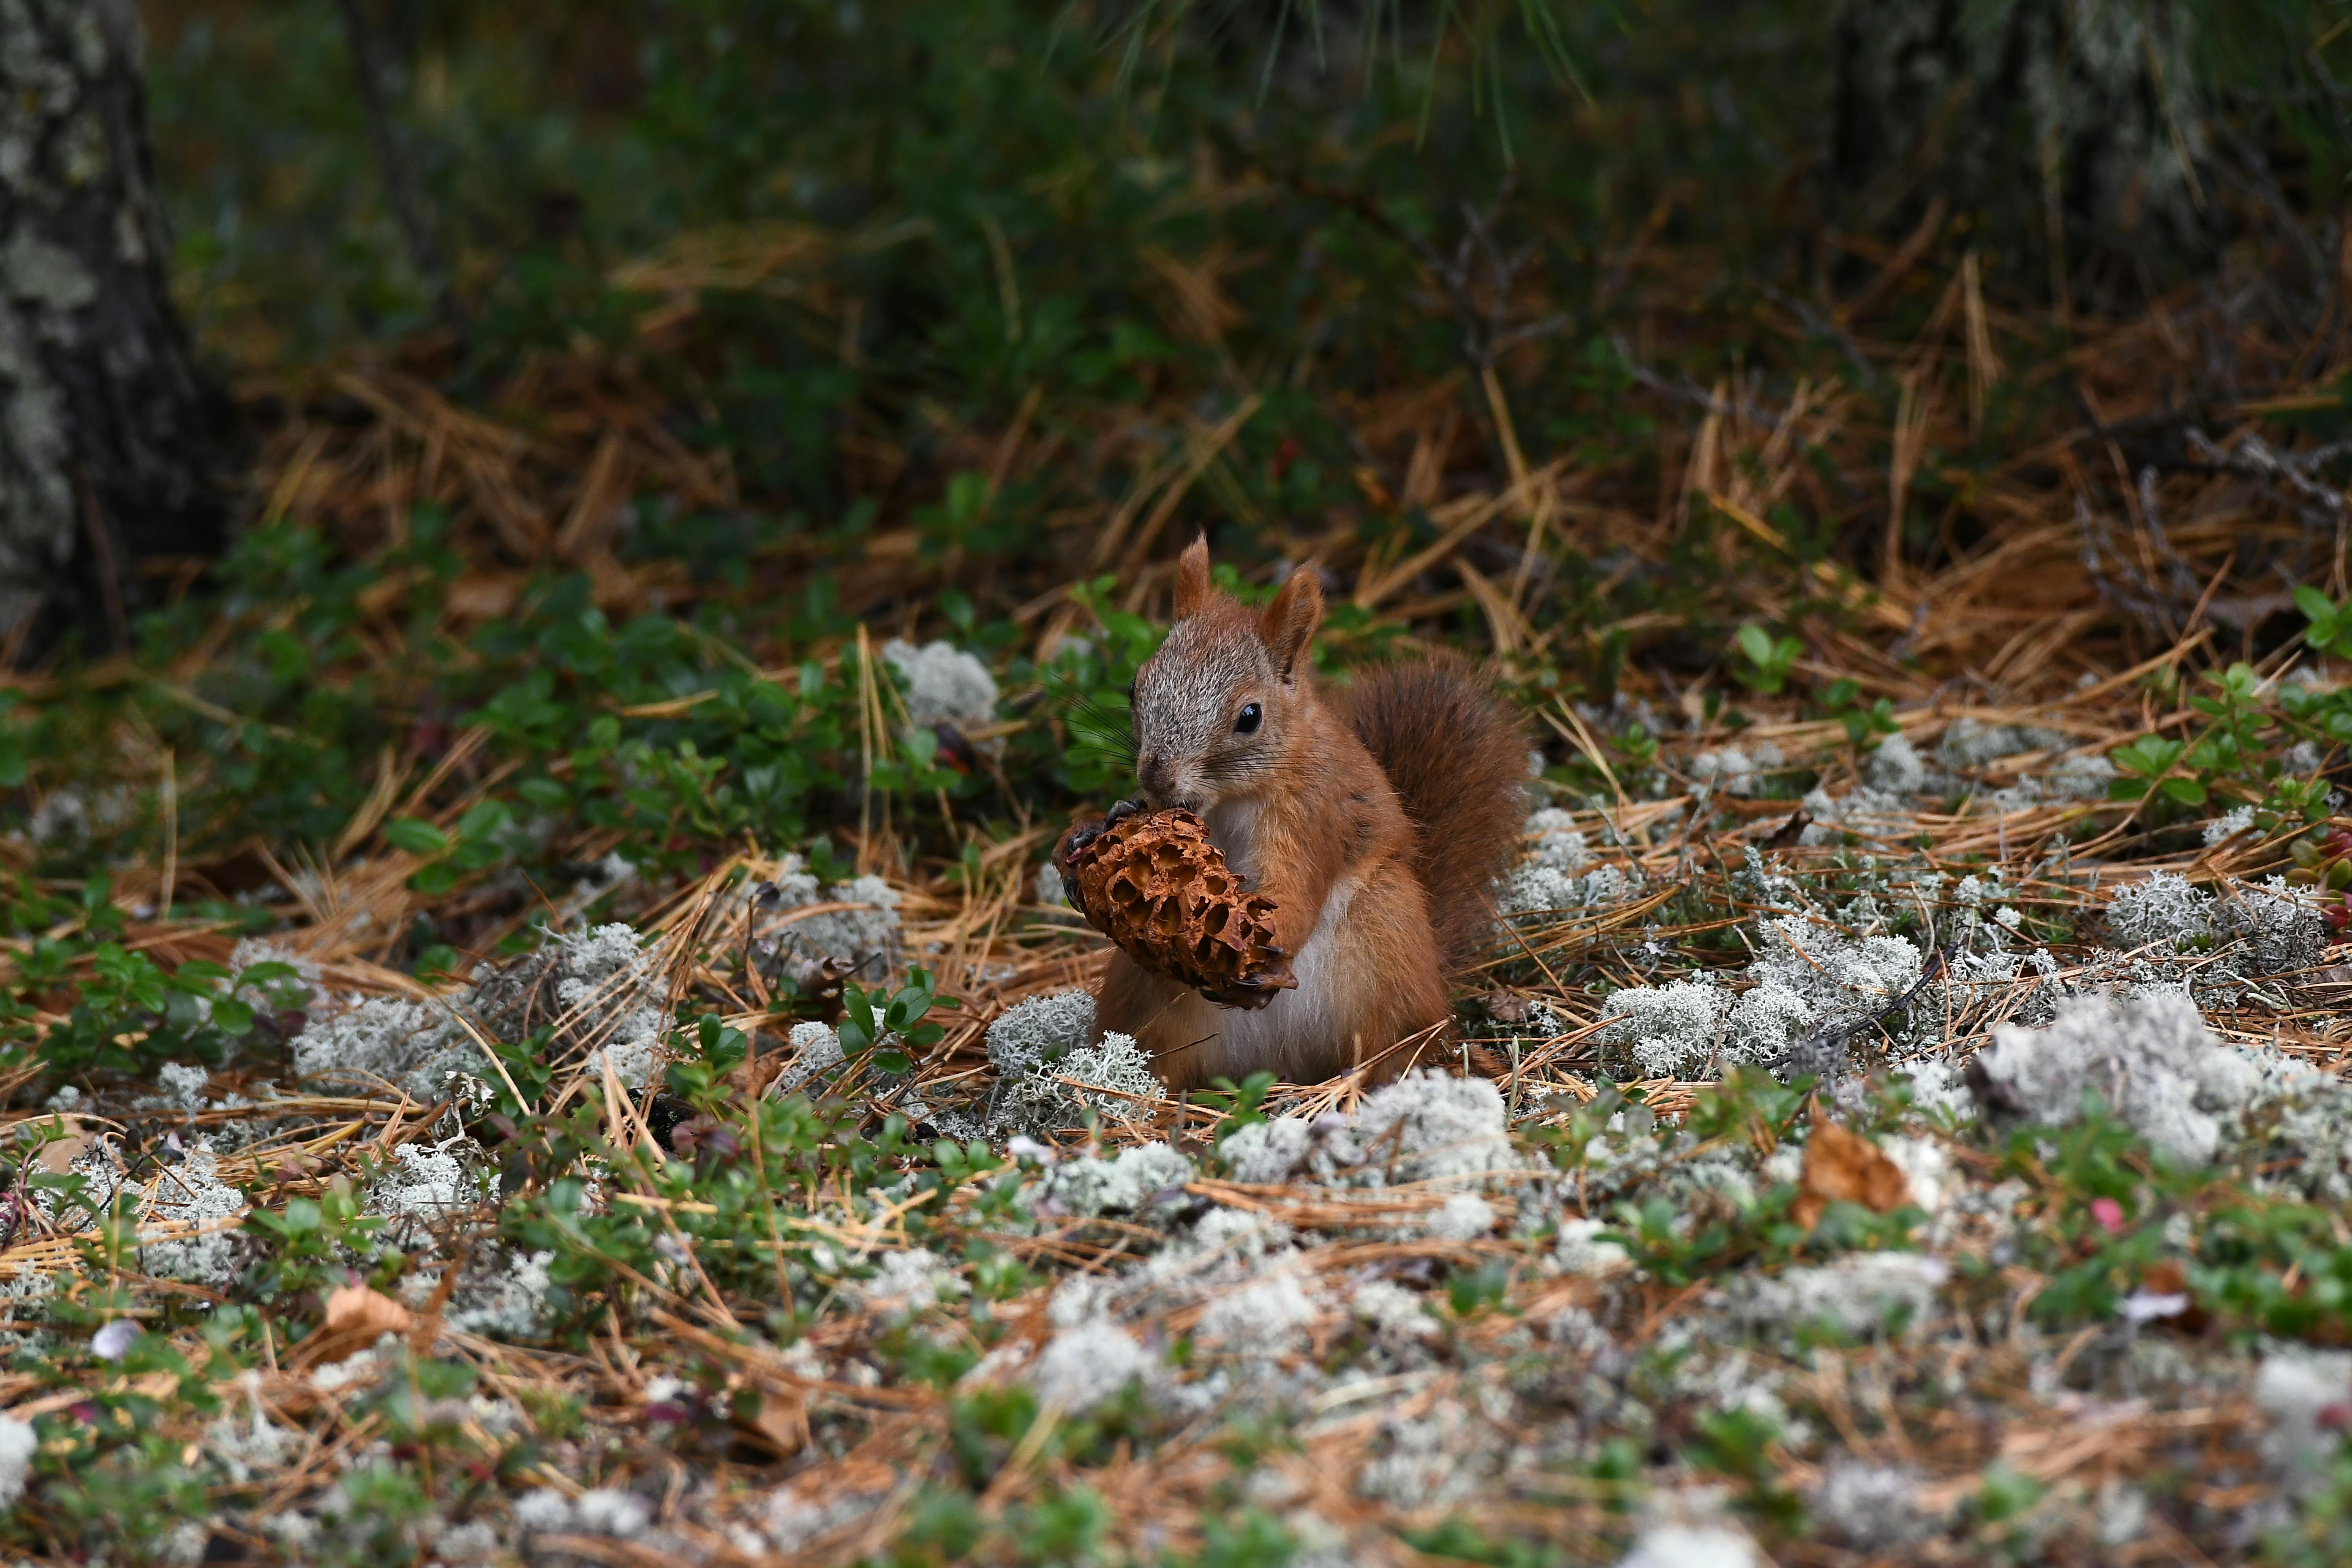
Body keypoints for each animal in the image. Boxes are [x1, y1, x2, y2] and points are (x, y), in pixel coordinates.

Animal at [1080, 535, 1530, 1090]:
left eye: (1250, 716)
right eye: (1135, 688)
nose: (1156, 777)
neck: (1232, 799)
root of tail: (1281, 1063)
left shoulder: (1313, 815)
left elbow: (1294, 886)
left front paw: (1266, 938)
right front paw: (1108, 820)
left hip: (1389, 939)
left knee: (1396, 1040)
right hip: (1140, 991)